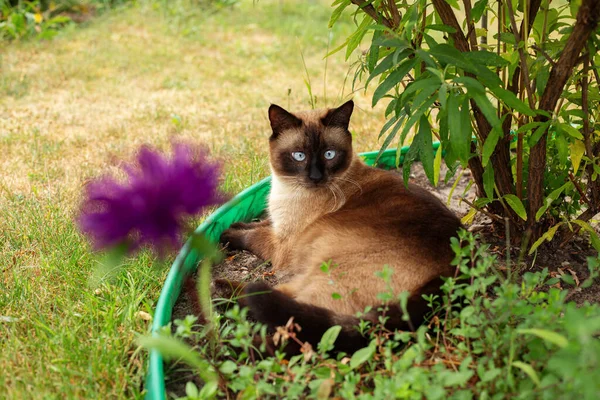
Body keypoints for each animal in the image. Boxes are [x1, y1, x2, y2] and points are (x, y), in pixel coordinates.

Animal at [218, 101, 462, 354]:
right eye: (299, 156)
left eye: (329, 154)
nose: (315, 176)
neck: (285, 190)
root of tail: (452, 272)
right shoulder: (279, 226)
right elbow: (259, 224)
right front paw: (236, 224)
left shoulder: (282, 246)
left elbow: (252, 236)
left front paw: (226, 234)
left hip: (322, 272)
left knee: (299, 332)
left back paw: (228, 325)